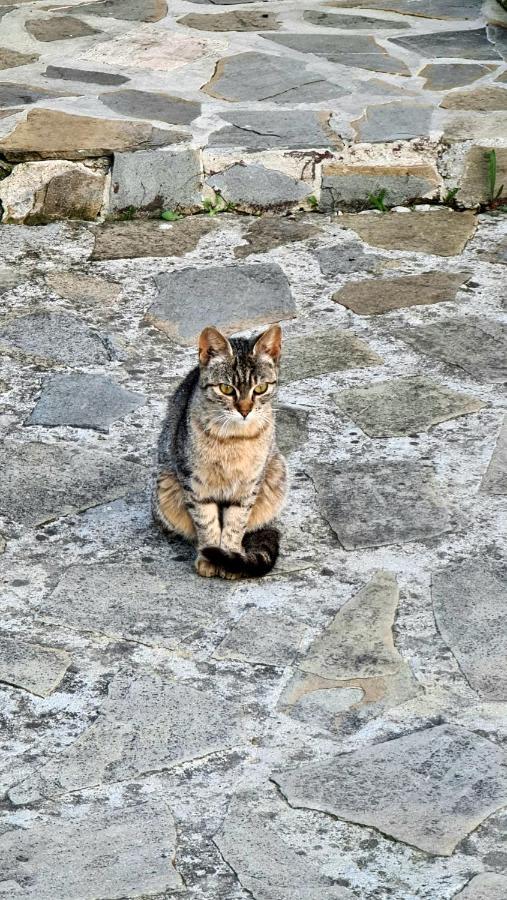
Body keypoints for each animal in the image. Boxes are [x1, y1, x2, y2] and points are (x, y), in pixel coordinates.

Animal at [153, 324, 288, 576]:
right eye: (226, 389)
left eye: (261, 388)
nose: (245, 410)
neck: (234, 439)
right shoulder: (194, 483)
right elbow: (206, 523)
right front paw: (209, 558)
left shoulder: (249, 485)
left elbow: (236, 524)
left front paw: (230, 556)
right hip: (164, 484)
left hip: (276, 473)